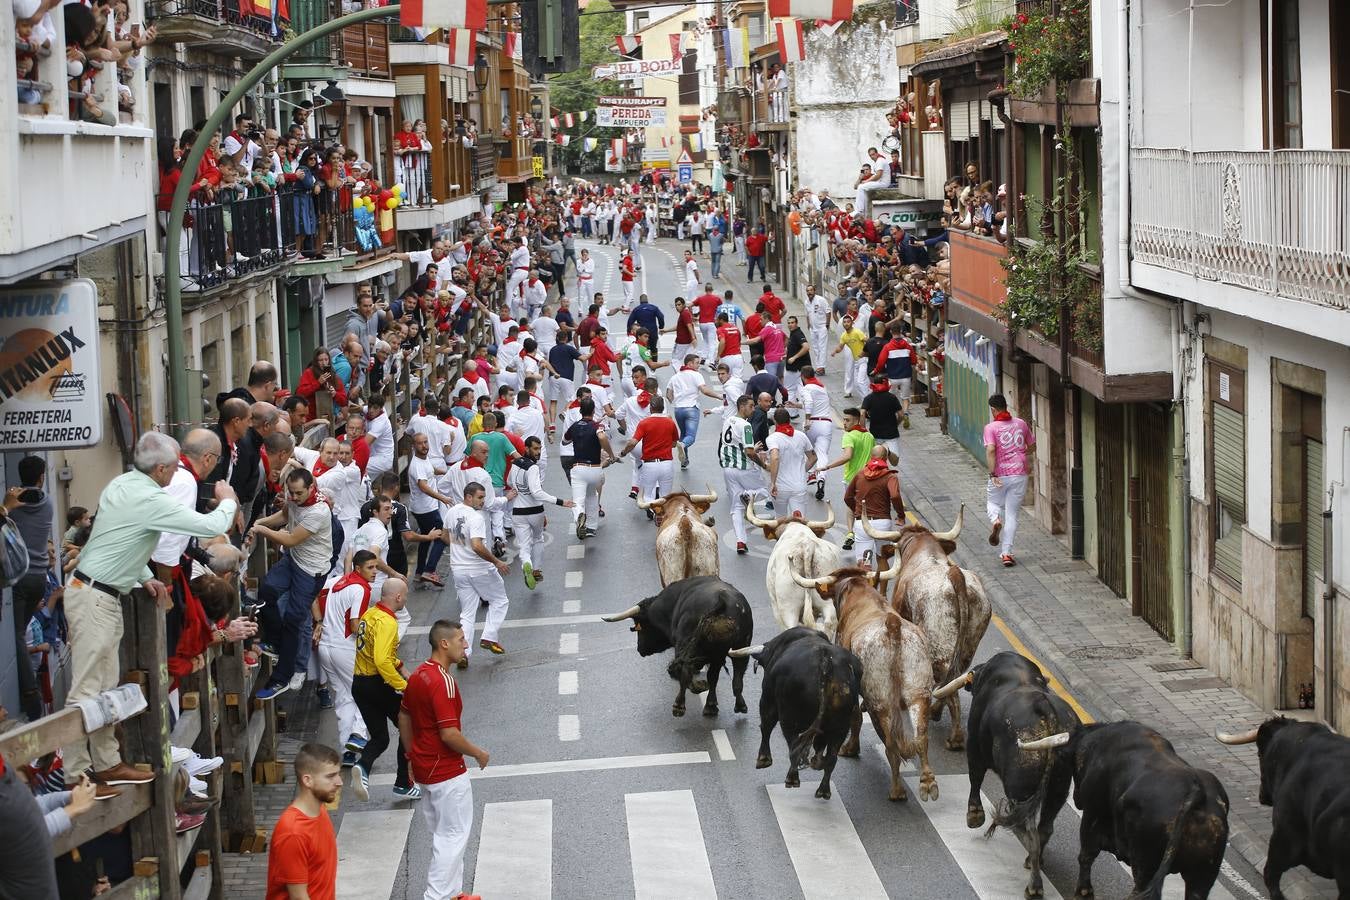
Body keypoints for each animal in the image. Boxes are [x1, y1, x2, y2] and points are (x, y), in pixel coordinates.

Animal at [604, 577, 756, 717]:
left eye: (639, 625)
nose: (639, 649)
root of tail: (722, 602)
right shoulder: (717, 657)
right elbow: (713, 677)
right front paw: (711, 704)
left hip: (688, 645)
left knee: (684, 669)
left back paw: (679, 705)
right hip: (741, 646)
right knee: (737, 676)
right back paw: (737, 705)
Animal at [745, 499, 837, 639]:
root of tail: (807, 547)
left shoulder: (775, 605)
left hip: (788, 608)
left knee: (792, 628)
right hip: (827, 604)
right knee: (829, 624)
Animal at [745, 626, 858, 804]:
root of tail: (825, 662)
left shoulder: (768, 699)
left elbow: (766, 725)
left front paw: (763, 759)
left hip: (788, 717)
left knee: (793, 746)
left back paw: (792, 779)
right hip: (841, 726)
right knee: (831, 757)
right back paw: (823, 789)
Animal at [793, 558, 934, 804]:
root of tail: (893, 627)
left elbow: (856, 717)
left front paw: (850, 748)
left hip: (881, 700)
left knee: (890, 744)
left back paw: (896, 790)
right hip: (919, 692)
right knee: (921, 737)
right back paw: (927, 782)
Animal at [864, 507, 993, 755]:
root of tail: (955, 575)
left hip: (938, 643)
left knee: (948, 682)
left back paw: (955, 738)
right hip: (968, 643)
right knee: (954, 676)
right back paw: (937, 713)